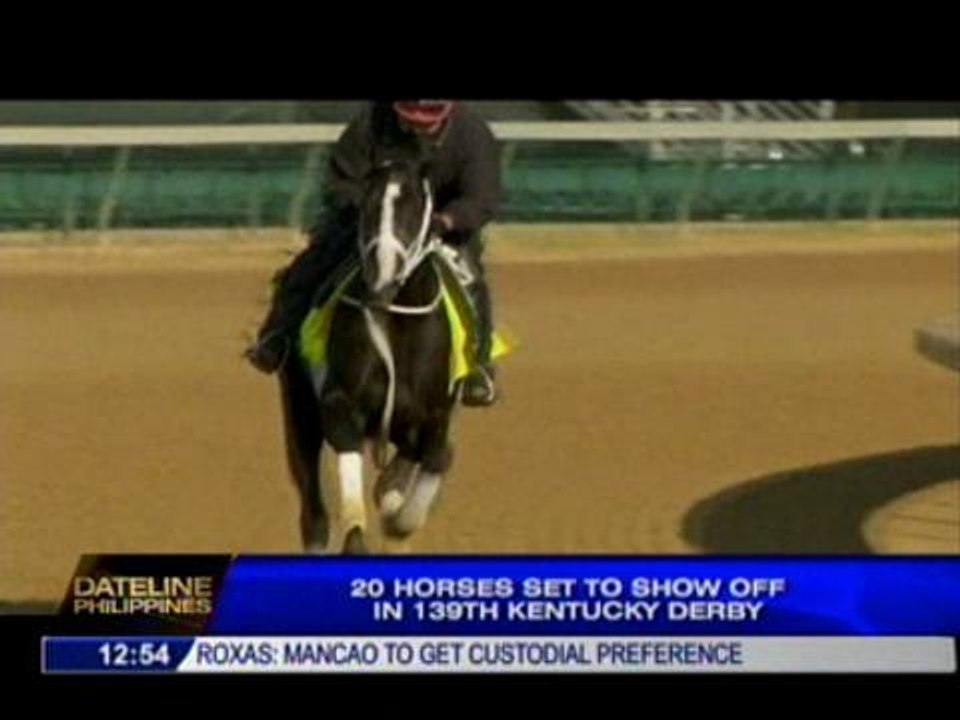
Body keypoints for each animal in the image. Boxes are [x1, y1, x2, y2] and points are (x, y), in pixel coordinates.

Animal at [278, 158, 457, 554]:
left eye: (416, 207)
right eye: (368, 204)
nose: (382, 277)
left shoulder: (434, 414)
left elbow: (436, 458)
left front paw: (396, 515)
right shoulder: (339, 404)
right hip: (300, 412)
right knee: (313, 510)